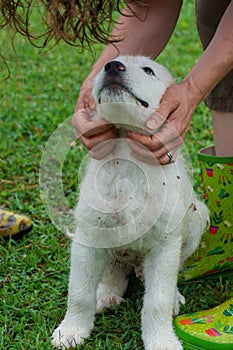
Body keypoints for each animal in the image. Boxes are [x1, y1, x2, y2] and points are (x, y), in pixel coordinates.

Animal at [52, 56, 209, 348]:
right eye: (110, 63)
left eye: (148, 70)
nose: (112, 66)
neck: (126, 153)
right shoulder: (88, 236)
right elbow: (79, 291)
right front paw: (71, 331)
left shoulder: (165, 245)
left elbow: (157, 301)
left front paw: (162, 341)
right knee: (114, 267)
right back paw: (106, 292)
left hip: (196, 218)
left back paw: (171, 295)